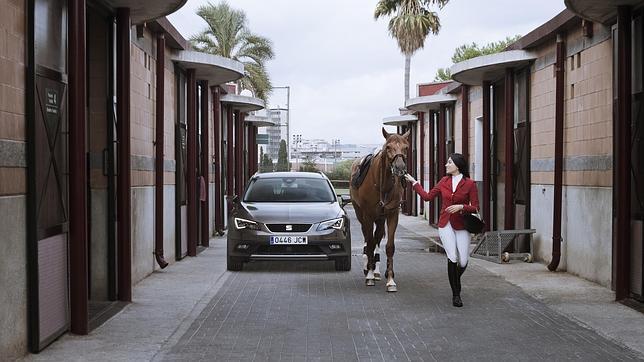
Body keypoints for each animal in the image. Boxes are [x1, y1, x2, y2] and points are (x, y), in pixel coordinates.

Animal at [352, 127, 408, 292]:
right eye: (388, 147)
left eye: (406, 147)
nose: (400, 168)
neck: (382, 184)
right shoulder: (368, 216)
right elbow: (370, 242)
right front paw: (369, 275)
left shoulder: (392, 214)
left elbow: (389, 246)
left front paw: (390, 280)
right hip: (361, 214)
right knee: (368, 238)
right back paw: (368, 267)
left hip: (380, 218)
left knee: (377, 237)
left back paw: (376, 270)